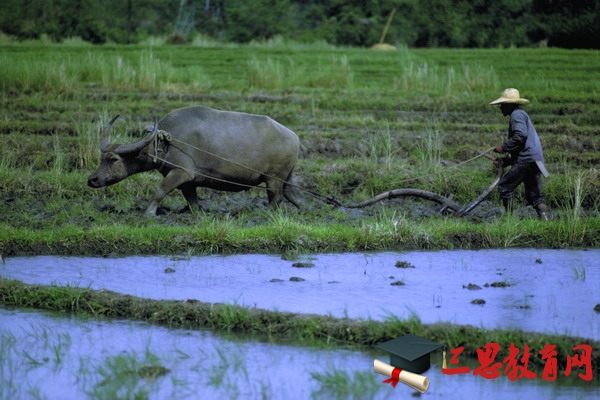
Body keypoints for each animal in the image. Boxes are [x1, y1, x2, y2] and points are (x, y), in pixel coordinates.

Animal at [86, 104, 302, 214]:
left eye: (113, 159)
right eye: (102, 158)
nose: (92, 179)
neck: (164, 143)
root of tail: (294, 137)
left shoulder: (181, 173)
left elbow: (159, 191)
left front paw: (148, 214)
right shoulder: (188, 181)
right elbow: (192, 200)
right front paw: (196, 214)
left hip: (274, 178)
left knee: (276, 198)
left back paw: (265, 213)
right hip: (283, 178)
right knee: (290, 196)